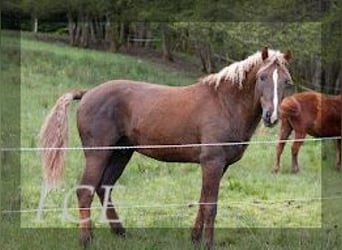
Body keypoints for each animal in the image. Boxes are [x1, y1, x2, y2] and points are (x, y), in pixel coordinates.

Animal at [39, 47, 292, 248]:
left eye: (287, 81)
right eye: (262, 77)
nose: (271, 116)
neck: (224, 102)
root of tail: (87, 93)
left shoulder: (220, 166)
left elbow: (202, 201)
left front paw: (195, 238)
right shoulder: (213, 163)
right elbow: (211, 205)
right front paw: (207, 243)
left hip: (121, 154)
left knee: (104, 187)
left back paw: (119, 232)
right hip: (98, 154)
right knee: (85, 190)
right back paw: (86, 239)